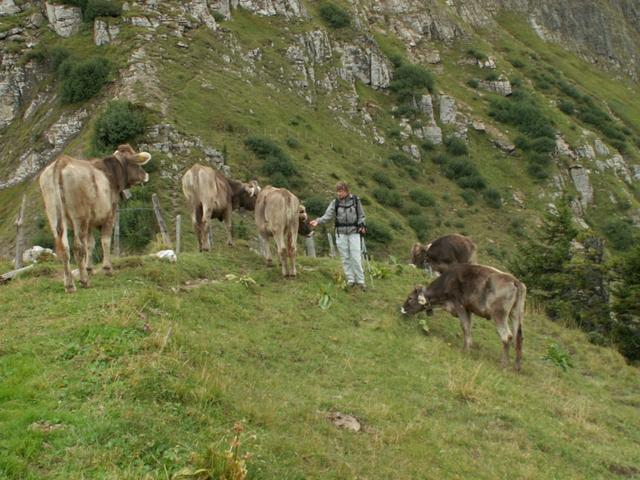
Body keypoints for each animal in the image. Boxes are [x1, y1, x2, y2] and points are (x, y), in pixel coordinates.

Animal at [39, 143, 152, 292]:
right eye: (137, 162)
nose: (146, 175)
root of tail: (61, 161)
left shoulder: (90, 223)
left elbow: (90, 244)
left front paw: (89, 268)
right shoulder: (110, 215)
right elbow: (105, 241)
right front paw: (108, 268)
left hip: (53, 214)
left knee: (64, 248)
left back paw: (69, 284)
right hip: (79, 217)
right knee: (77, 247)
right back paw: (84, 281)